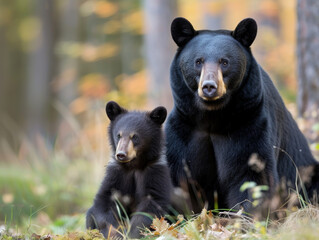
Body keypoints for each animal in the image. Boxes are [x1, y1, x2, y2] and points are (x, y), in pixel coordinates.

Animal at [87, 101, 172, 238]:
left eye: (135, 137)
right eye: (118, 135)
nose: (121, 154)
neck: (134, 165)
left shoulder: (154, 171)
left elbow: (151, 204)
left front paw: (133, 234)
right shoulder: (116, 173)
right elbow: (105, 200)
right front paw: (116, 233)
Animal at [168, 16, 319, 212]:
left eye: (224, 61)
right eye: (198, 61)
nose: (209, 86)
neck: (212, 117)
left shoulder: (249, 122)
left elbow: (250, 173)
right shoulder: (185, 128)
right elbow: (181, 176)